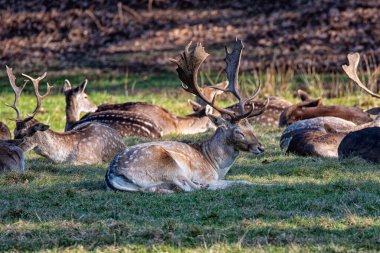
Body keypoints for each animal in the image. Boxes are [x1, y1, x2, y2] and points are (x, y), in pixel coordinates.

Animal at [104, 39, 270, 193]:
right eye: (238, 132)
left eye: (251, 127)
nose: (261, 147)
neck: (215, 165)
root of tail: (111, 175)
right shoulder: (205, 175)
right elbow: (242, 181)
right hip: (167, 164)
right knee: (188, 186)